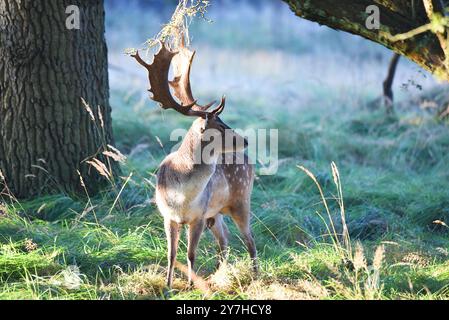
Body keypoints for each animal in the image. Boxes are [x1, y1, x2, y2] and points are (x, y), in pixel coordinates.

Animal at [131, 40, 258, 288]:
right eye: (221, 126)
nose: (246, 141)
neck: (181, 196)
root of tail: (250, 163)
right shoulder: (168, 216)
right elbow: (171, 254)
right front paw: (168, 285)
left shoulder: (198, 216)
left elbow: (191, 253)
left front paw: (191, 285)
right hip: (216, 212)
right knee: (225, 239)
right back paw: (218, 275)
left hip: (241, 200)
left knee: (249, 239)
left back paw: (255, 276)